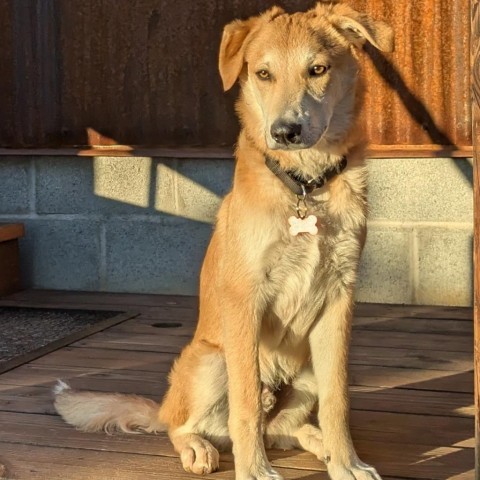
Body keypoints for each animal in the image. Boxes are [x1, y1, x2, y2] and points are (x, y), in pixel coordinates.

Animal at [54, 4, 394, 480]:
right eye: (264, 73)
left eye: (318, 70)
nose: (285, 131)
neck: (305, 186)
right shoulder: (244, 298)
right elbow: (246, 403)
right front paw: (254, 470)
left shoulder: (339, 298)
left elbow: (336, 400)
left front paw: (346, 463)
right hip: (211, 361)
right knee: (189, 425)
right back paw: (198, 446)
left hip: (307, 367)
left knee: (287, 427)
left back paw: (320, 445)